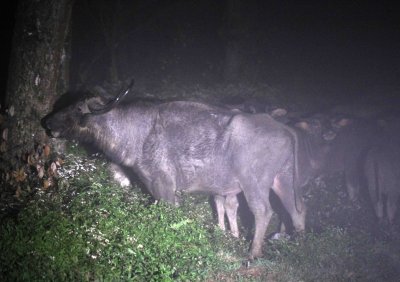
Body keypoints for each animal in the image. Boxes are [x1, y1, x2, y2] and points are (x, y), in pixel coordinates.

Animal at [43, 81, 304, 258]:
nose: (47, 122)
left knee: (264, 212)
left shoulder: (161, 185)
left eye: (78, 108)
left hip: (254, 185)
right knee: (296, 209)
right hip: (283, 180)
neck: (138, 132)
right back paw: (297, 241)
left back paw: (253, 253)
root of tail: (284, 129)